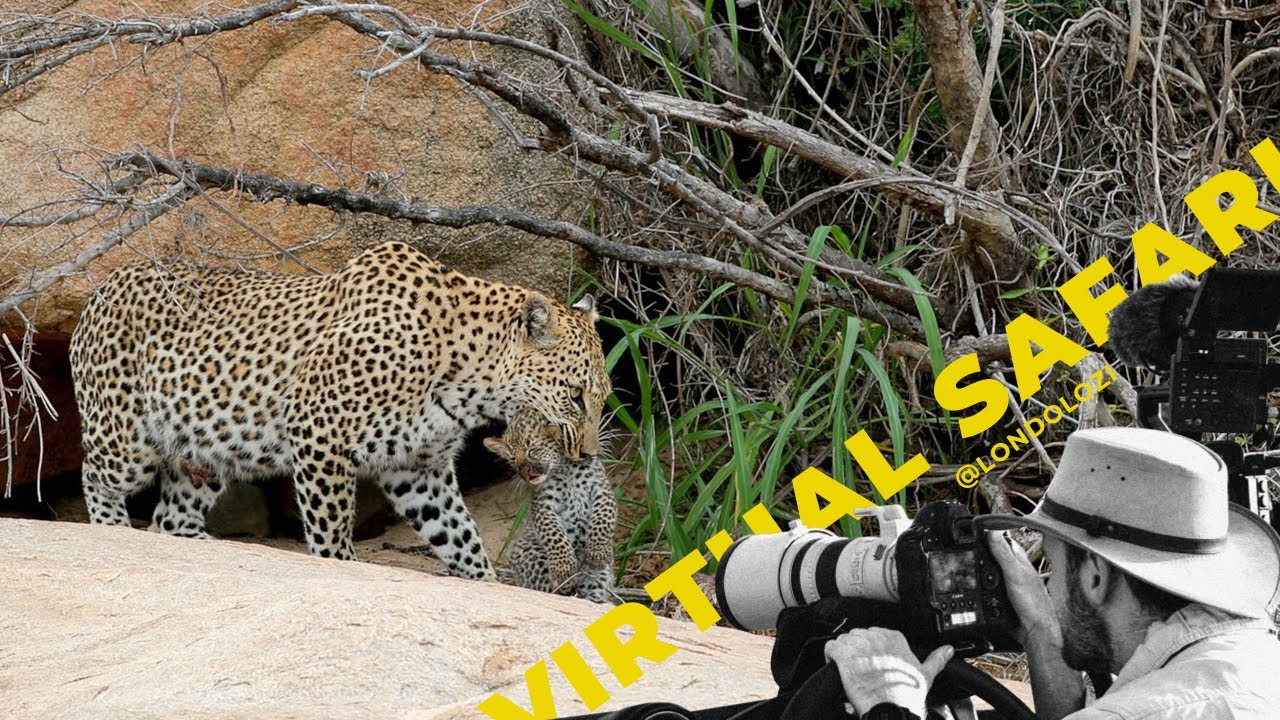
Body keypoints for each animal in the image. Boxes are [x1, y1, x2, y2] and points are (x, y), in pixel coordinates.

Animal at [68, 241, 610, 580]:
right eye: (575, 395)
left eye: (604, 397)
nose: (586, 456)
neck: (467, 377)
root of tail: (101, 288)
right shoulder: (319, 436)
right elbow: (332, 537)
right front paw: (340, 565)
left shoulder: (419, 468)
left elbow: (461, 535)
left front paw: (488, 581)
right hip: (126, 442)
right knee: (93, 475)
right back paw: (114, 531)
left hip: (204, 451)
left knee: (169, 518)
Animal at [484, 409, 616, 603]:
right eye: (512, 458)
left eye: (534, 450)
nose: (526, 474)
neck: (567, 468)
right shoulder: (543, 503)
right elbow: (554, 534)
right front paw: (564, 568)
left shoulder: (601, 490)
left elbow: (603, 518)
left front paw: (597, 552)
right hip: (530, 554)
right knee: (547, 590)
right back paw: (565, 583)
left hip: (600, 575)